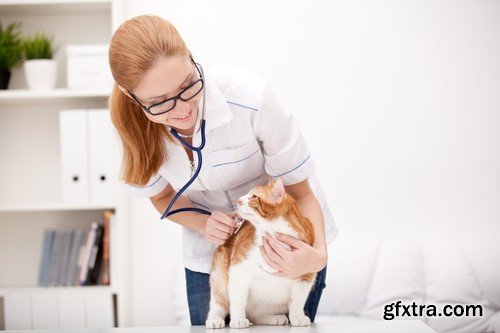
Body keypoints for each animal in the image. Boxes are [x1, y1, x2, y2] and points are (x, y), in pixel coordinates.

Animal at [205, 176, 314, 326]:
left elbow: (297, 302)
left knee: (255, 316)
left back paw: (273, 318)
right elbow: (238, 300)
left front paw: (297, 317)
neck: (273, 234)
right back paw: (215, 319)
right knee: (218, 303)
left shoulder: (305, 275)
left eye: (254, 196)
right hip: (219, 277)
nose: (238, 200)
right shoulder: (239, 270)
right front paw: (238, 319)